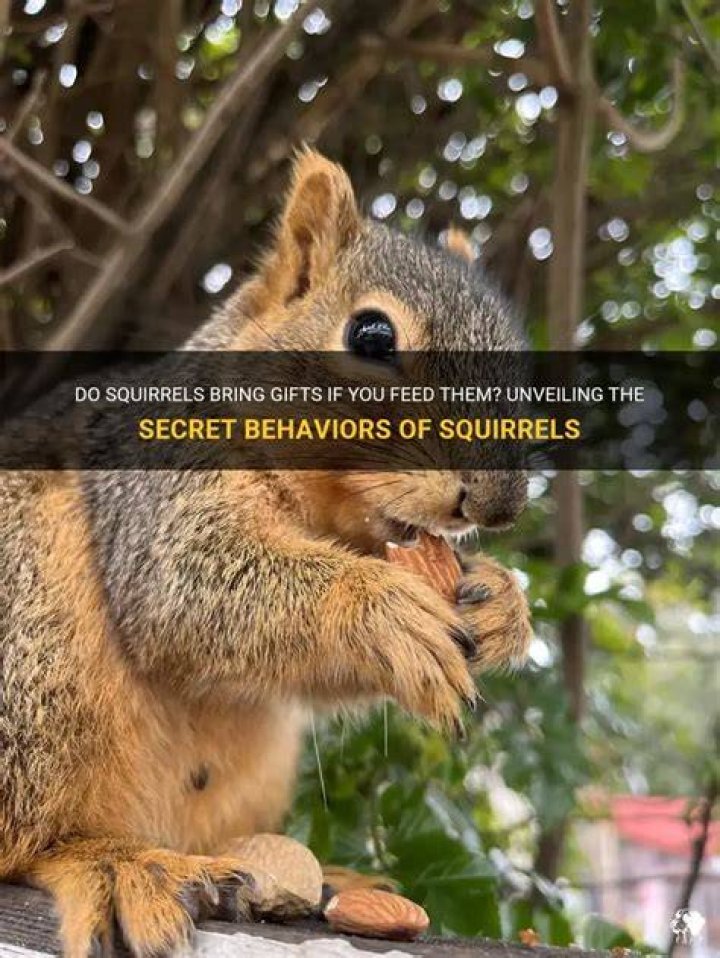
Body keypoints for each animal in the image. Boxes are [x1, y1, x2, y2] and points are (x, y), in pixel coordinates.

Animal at [0, 150, 532, 957]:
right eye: (371, 336)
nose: (499, 502)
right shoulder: (152, 492)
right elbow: (183, 587)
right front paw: (378, 607)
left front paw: (502, 602)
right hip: (32, 651)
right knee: (28, 840)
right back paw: (113, 862)